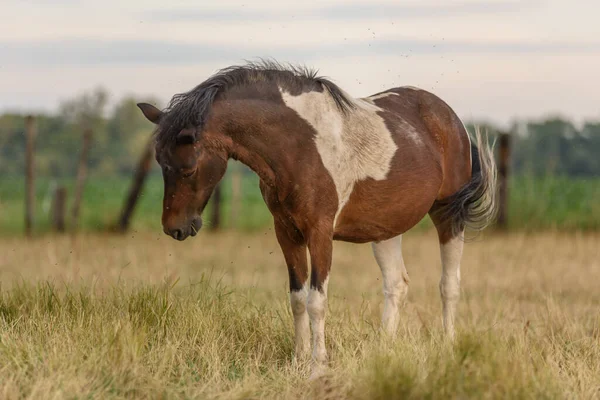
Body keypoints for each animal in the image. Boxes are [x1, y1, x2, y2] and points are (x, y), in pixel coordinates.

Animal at [137, 60, 496, 376]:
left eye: (188, 168)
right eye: (160, 162)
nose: (175, 228)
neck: (298, 146)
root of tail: (448, 116)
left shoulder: (320, 233)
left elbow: (316, 301)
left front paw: (317, 366)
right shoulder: (287, 232)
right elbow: (297, 299)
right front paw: (297, 361)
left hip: (448, 215)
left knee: (449, 284)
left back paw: (448, 347)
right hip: (386, 228)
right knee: (396, 285)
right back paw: (383, 351)